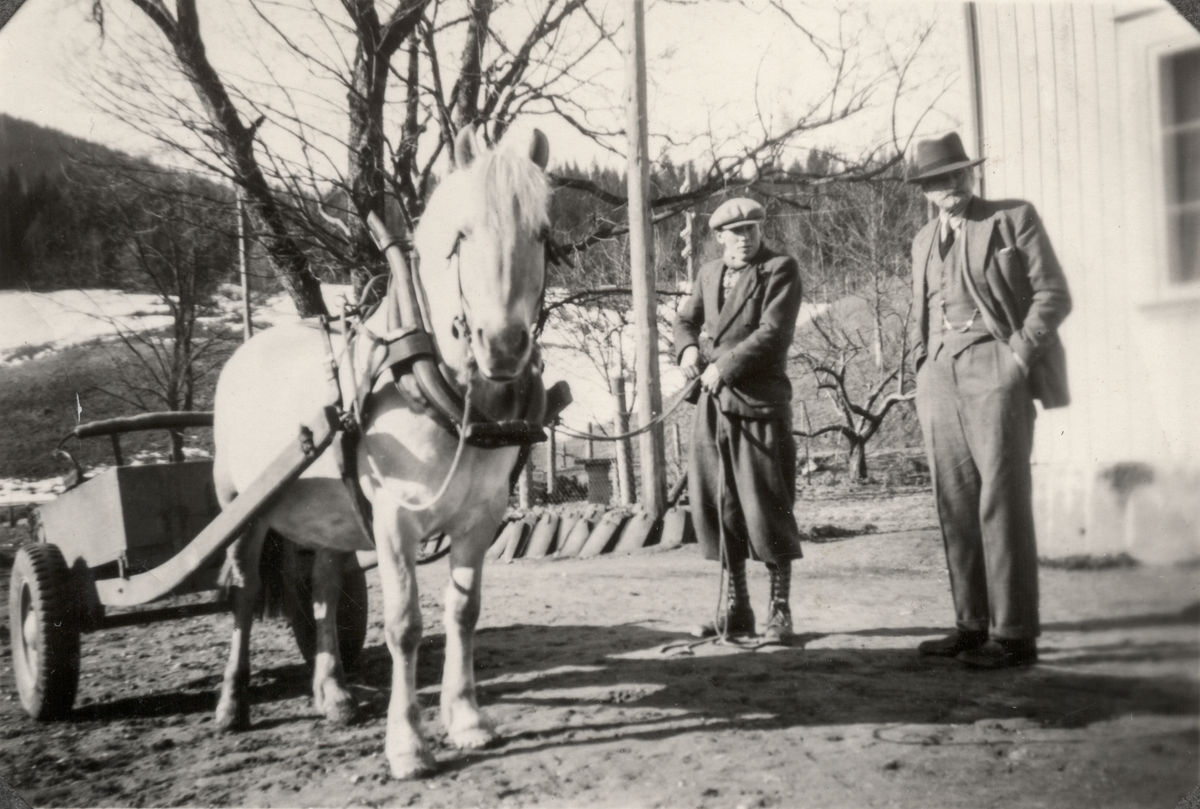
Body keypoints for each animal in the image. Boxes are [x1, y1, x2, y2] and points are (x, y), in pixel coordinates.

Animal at [212, 126, 552, 772]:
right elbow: (404, 625)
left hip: (331, 517)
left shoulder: (481, 516)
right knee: (243, 593)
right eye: (460, 236)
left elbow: (463, 612)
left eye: (542, 233)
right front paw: (408, 743)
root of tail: (245, 352)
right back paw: (231, 704)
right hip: (244, 508)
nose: (502, 348)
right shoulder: (395, 519)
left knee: (323, 588)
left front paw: (466, 719)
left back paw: (334, 693)